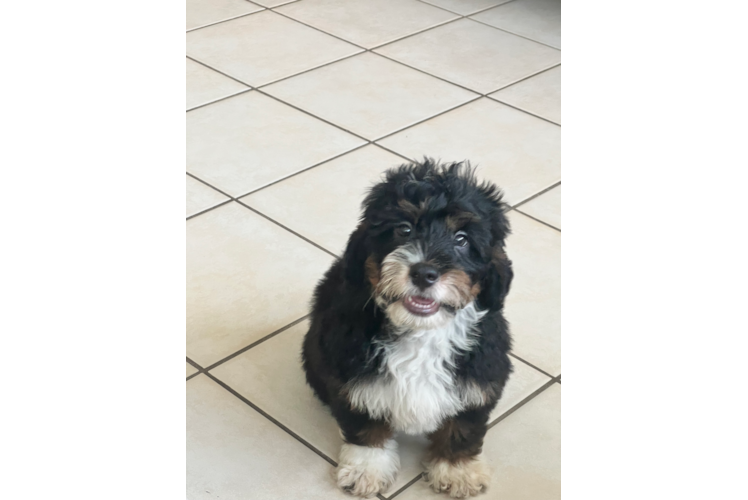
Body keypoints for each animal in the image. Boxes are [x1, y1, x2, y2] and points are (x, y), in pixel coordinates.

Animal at [300, 159, 512, 496]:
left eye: (462, 239)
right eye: (404, 229)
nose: (424, 273)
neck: (420, 331)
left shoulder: (480, 375)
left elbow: (464, 424)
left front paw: (458, 468)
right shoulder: (352, 374)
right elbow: (365, 423)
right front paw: (366, 468)